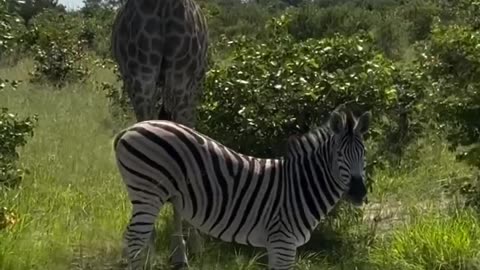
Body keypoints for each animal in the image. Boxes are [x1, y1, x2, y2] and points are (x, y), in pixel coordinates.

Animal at [112, 108, 372, 268]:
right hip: (148, 192)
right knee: (135, 237)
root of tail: (130, 129)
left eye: (364, 153)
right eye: (339, 155)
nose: (359, 192)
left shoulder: (279, 245)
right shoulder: (282, 242)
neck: (299, 186)